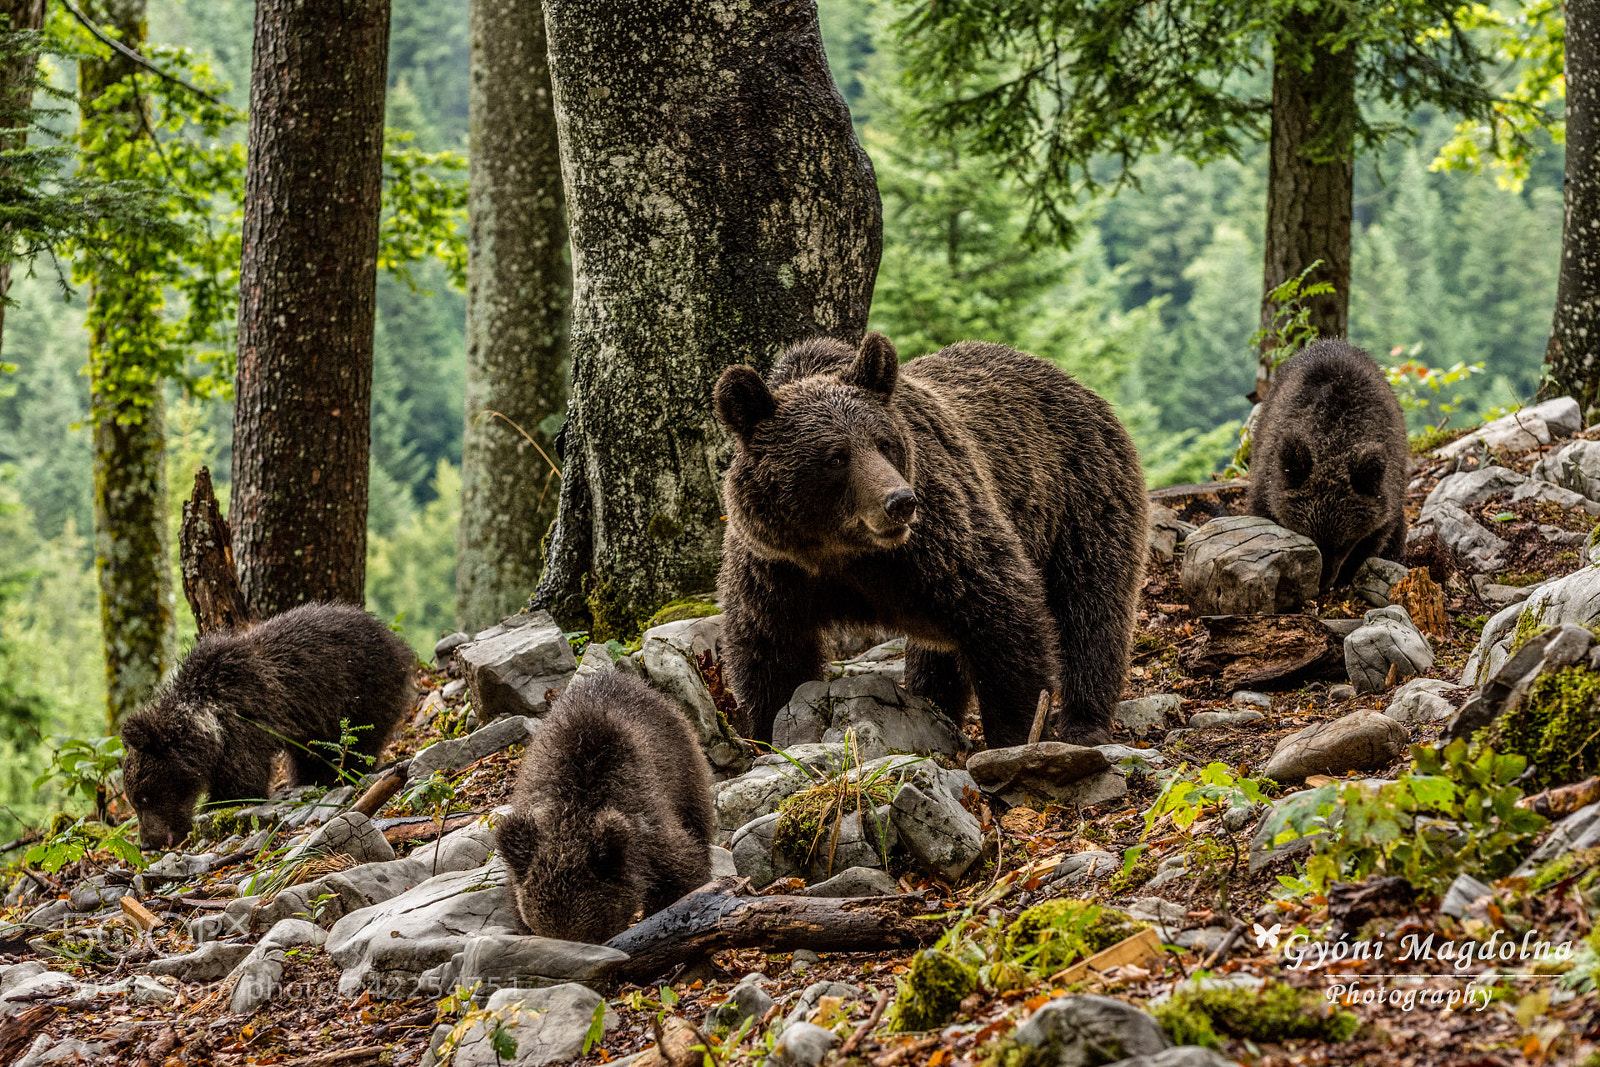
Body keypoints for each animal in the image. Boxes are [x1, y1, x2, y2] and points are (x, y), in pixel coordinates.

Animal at [121, 602, 415, 851]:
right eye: (135, 801)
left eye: (144, 798)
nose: (146, 844)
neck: (208, 723)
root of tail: (395, 640)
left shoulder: (242, 728)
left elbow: (242, 787)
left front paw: (212, 810)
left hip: (361, 693)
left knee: (359, 743)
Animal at [713, 331, 1148, 749]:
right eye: (835, 456)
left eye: (884, 443)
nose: (900, 501)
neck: (845, 552)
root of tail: (1077, 385)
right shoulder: (777, 570)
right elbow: (772, 653)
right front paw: (769, 731)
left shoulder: (940, 539)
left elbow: (1005, 613)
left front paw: (1015, 734)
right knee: (939, 651)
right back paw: (934, 703)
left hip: (1080, 499)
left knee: (1092, 611)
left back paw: (1083, 723)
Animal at [1247, 338, 1409, 592]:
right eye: (1307, 537)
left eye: (1344, 543)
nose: (1323, 584)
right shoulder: (1270, 478)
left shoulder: (1386, 489)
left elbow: (1376, 535)